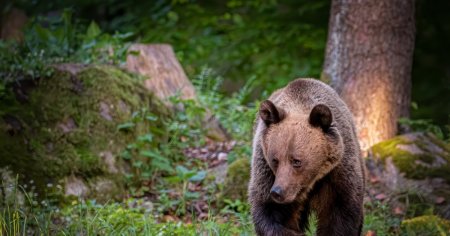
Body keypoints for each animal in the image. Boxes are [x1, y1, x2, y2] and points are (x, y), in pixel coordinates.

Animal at [248, 79, 368, 236]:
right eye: (275, 160)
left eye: (296, 161)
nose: (277, 192)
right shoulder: (265, 169)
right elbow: (267, 210)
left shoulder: (338, 172)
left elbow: (341, 215)